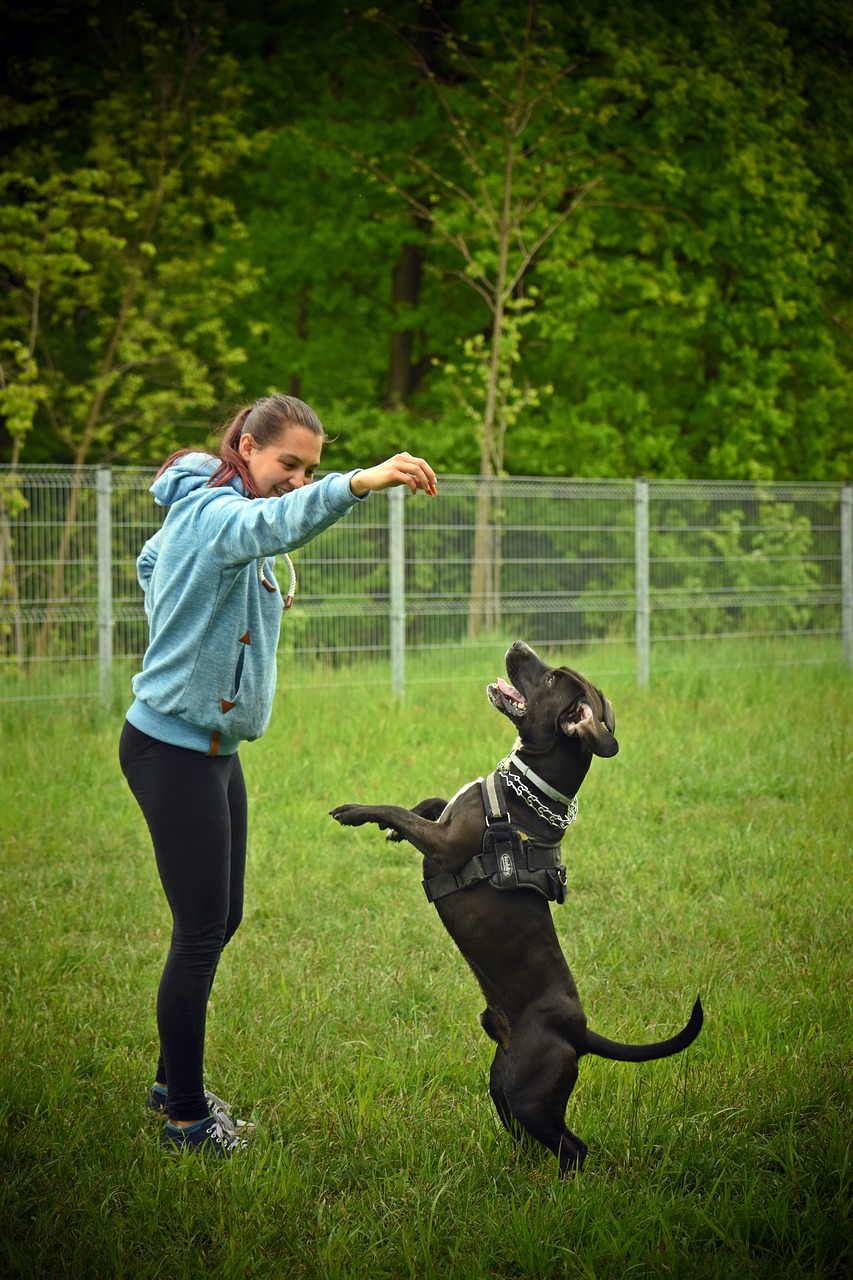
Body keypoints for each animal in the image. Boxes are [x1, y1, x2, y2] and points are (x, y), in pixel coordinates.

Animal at [327, 640, 701, 1172]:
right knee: (530, 1134)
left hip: (528, 1091)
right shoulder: (443, 821)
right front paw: (396, 828)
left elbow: (400, 810)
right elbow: (429, 802)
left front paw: (359, 813)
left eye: (549, 680)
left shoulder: (444, 846)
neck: (526, 791)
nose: (518, 644)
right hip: (504, 1083)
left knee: (574, 1147)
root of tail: (579, 1033)